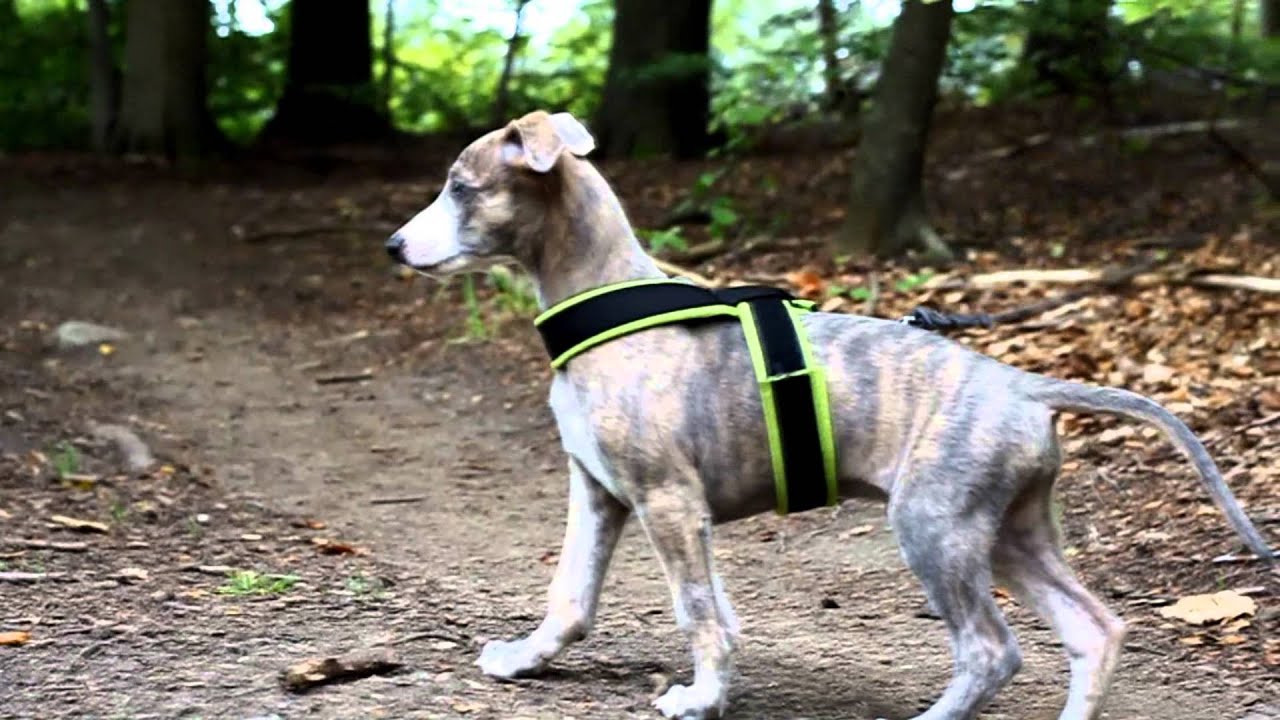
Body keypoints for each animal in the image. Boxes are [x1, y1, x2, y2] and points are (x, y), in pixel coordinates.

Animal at [378, 110, 1269, 717]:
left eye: (461, 188)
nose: (392, 247)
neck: (607, 296)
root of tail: (1022, 385)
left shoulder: (669, 500)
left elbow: (697, 610)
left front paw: (700, 698)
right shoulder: (599, 493)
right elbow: (573, 593)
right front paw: (525, 659)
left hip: (934, 524)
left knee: (991, 651)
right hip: (1009, 529)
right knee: (1095, 628)